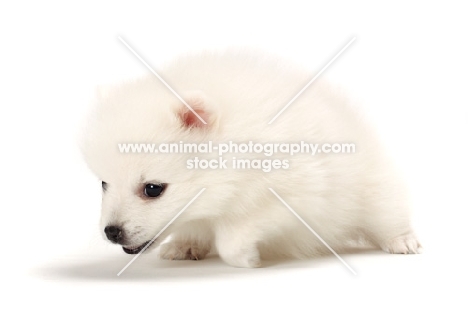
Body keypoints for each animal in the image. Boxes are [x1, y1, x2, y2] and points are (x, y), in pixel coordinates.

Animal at [80, 50, 420, 268]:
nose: (111, 232)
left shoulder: (292, 195)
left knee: (387, 216)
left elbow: (236, 232)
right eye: (103, 183)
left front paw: (246, 257)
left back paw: (403, 242)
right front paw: (189, 242)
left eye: (152, 189)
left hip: (374, 194)